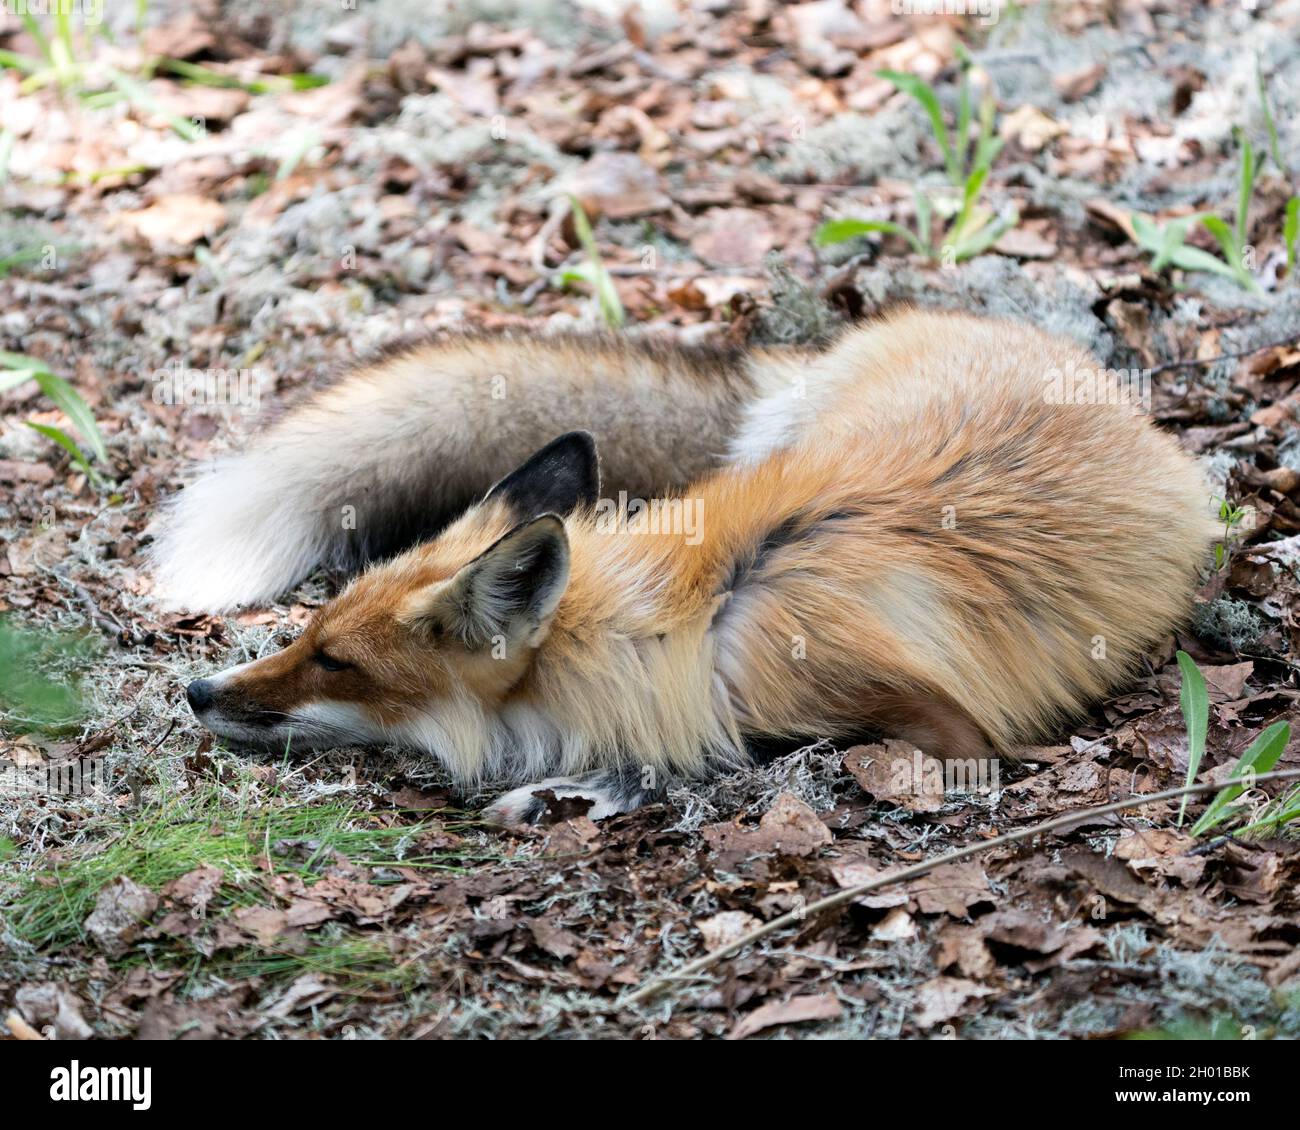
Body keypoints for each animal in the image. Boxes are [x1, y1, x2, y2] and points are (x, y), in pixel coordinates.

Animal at [153, 310, 1217, 824]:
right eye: (305, 631)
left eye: (337, 662)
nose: (199, 692)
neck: (693, 622)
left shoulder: (953, 736)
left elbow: (764, 759)